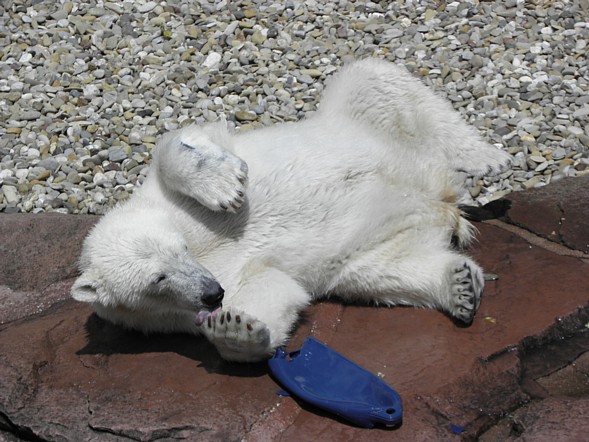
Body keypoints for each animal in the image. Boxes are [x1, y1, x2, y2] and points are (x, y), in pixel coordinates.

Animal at [71, 58, 512, 362]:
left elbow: (179, 142)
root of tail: (441, 198)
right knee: (382, 273)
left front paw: (223, 189)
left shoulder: (159, 195)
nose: (212, 292)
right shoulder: (175, 314)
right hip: (375, 245)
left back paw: (489, 158)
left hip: (366, 126)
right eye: (157, 279)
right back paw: (460, 286)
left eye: (180, 247)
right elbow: (276, 291)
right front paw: (236, 329)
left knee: (371, 78)